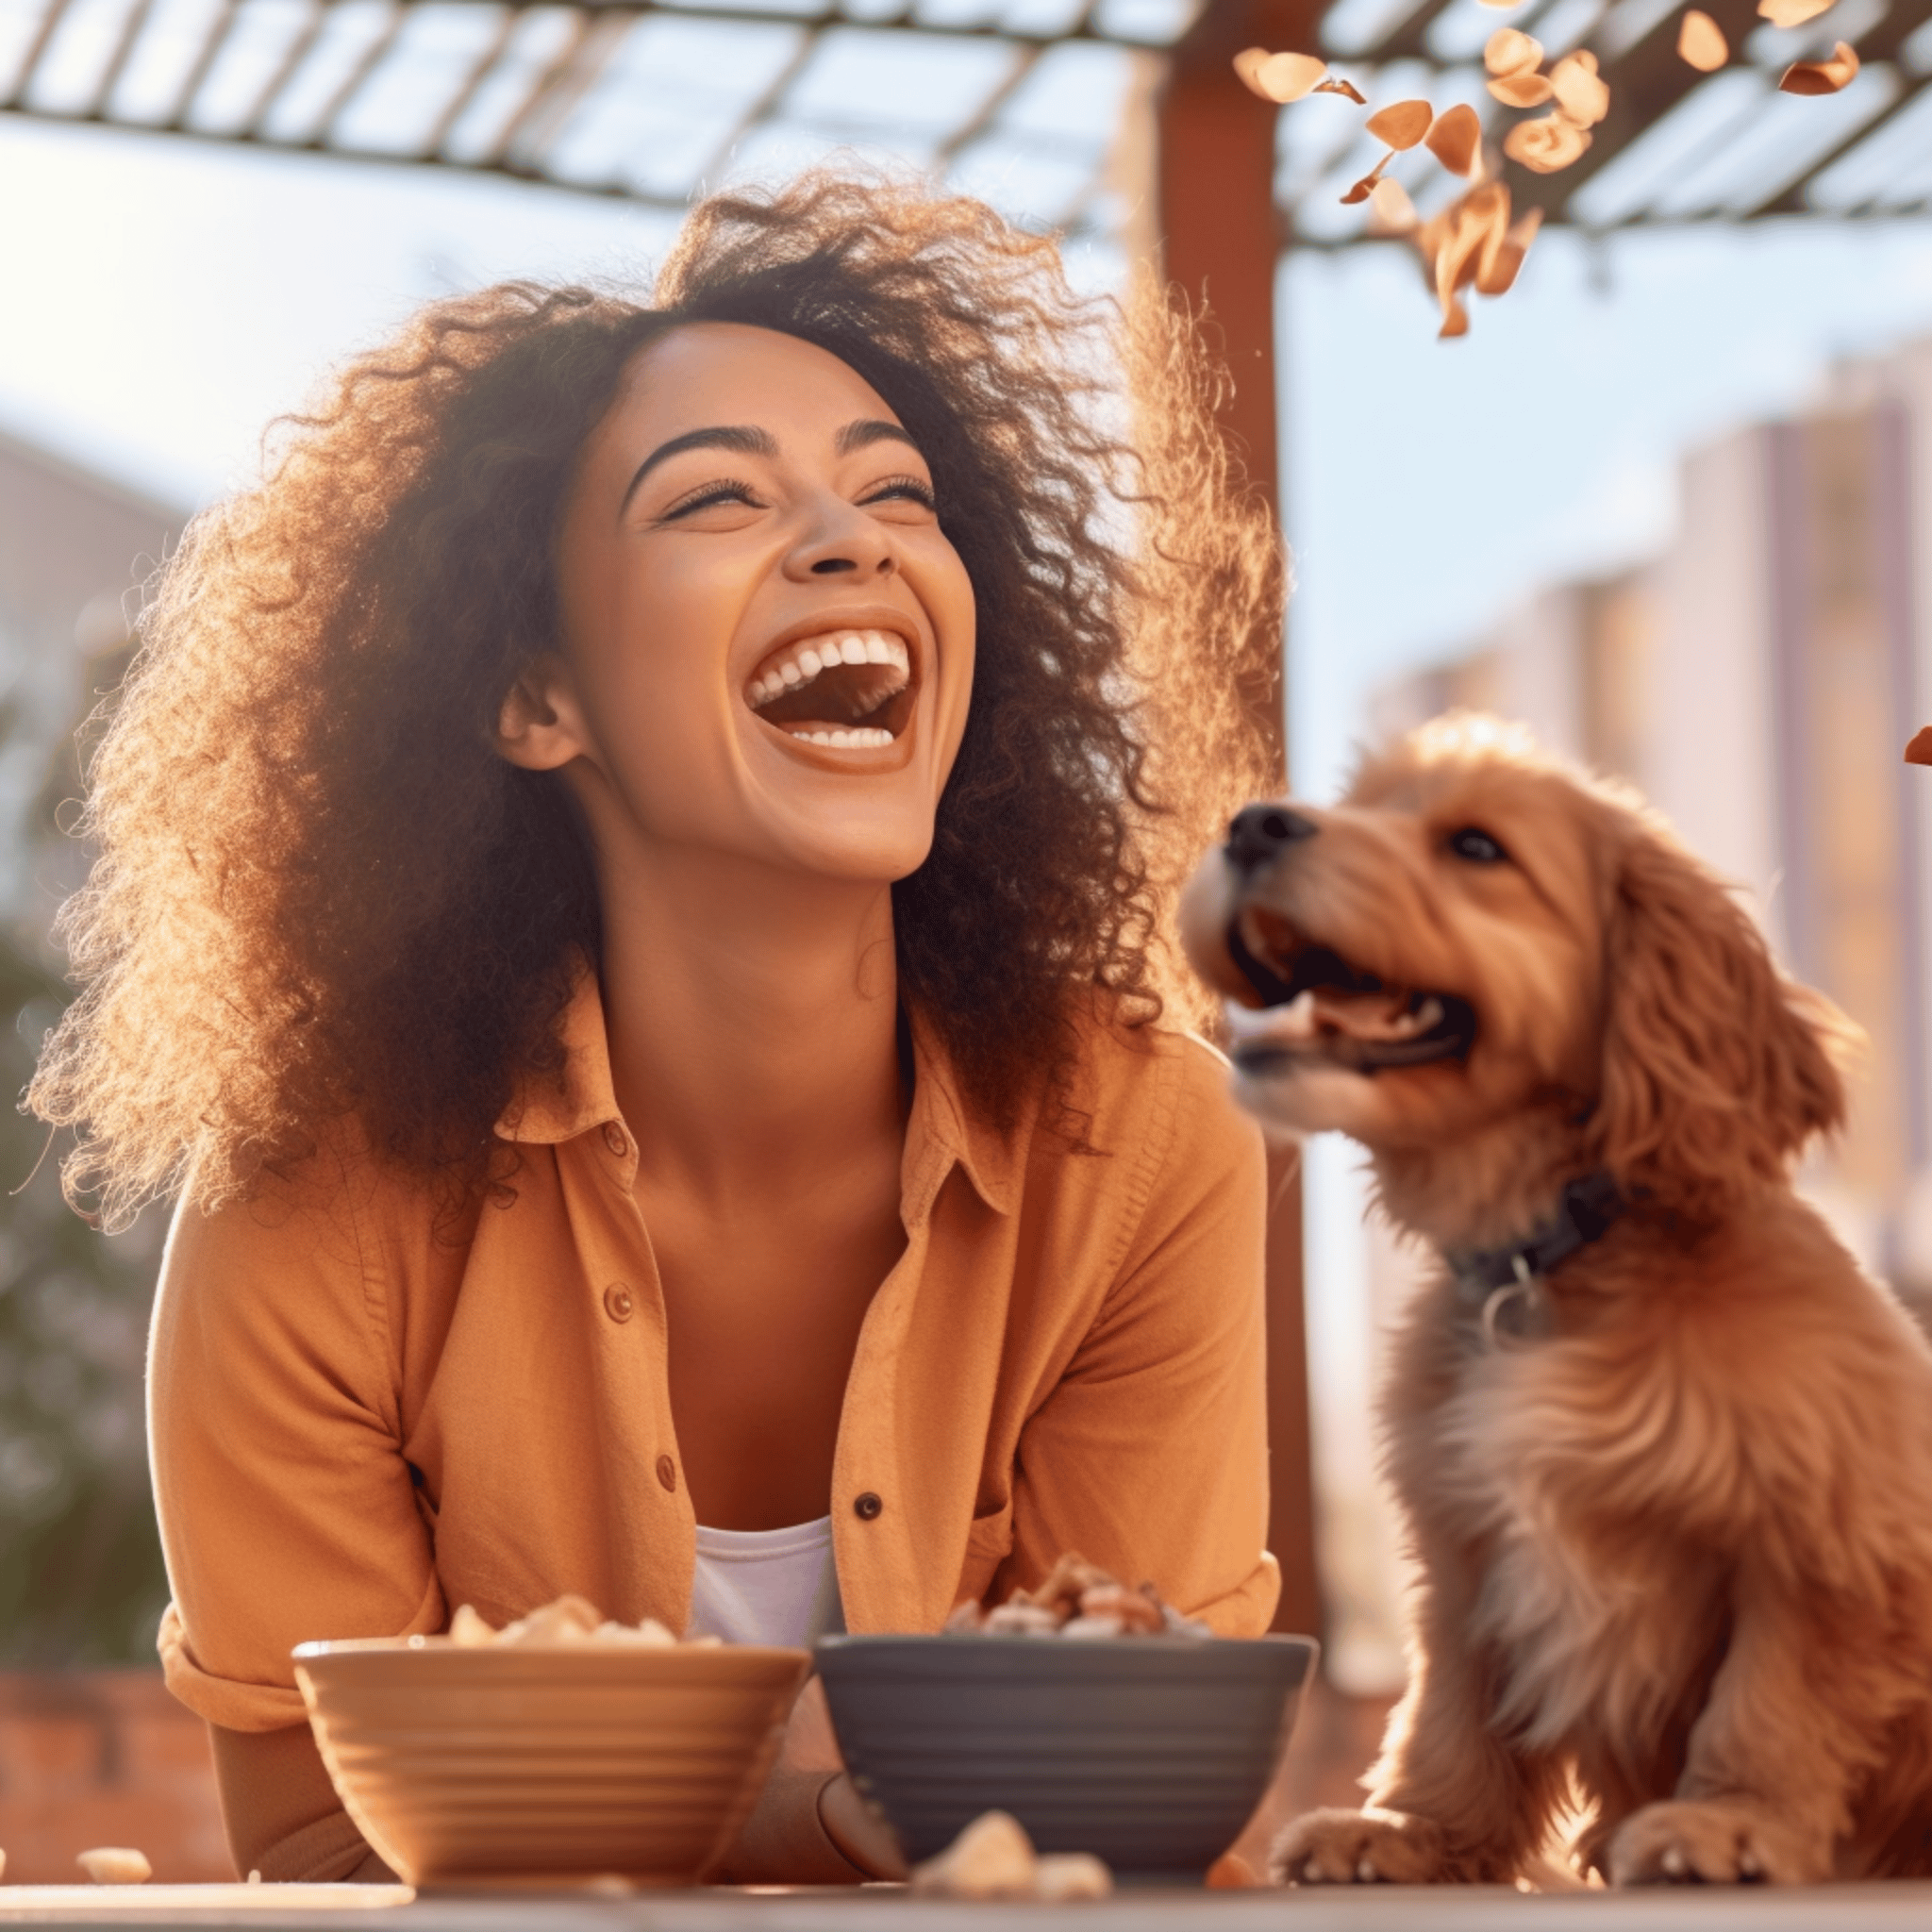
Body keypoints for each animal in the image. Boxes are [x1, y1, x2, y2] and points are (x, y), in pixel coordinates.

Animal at [1182, 714, 1932, 1885]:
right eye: (1359, 805)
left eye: (1476, 847)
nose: (1252, 822)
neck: (1551, 1265)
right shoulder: (1464, 1548)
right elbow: (1449, 1706)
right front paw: (1414, 1831)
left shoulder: (1825, 1541)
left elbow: (1770, 1697)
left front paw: (1726, 1821)